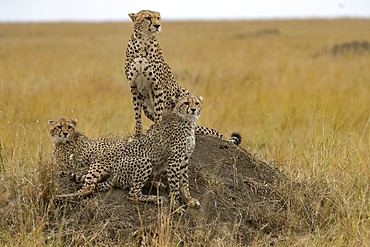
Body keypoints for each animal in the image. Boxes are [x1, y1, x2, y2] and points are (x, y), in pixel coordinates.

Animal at [57, 95, 202, 209]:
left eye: (196, 103)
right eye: (186, 103)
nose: (193, 109)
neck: (188, 122)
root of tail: (113, 174)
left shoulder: (184, 159)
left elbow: (184, 182)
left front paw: (189, 200)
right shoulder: (174, 161)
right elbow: (175, 184)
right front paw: (176, 206)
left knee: (129, 186)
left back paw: (154, 185)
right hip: (144, 161)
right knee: (132, 193)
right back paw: (154, 198)